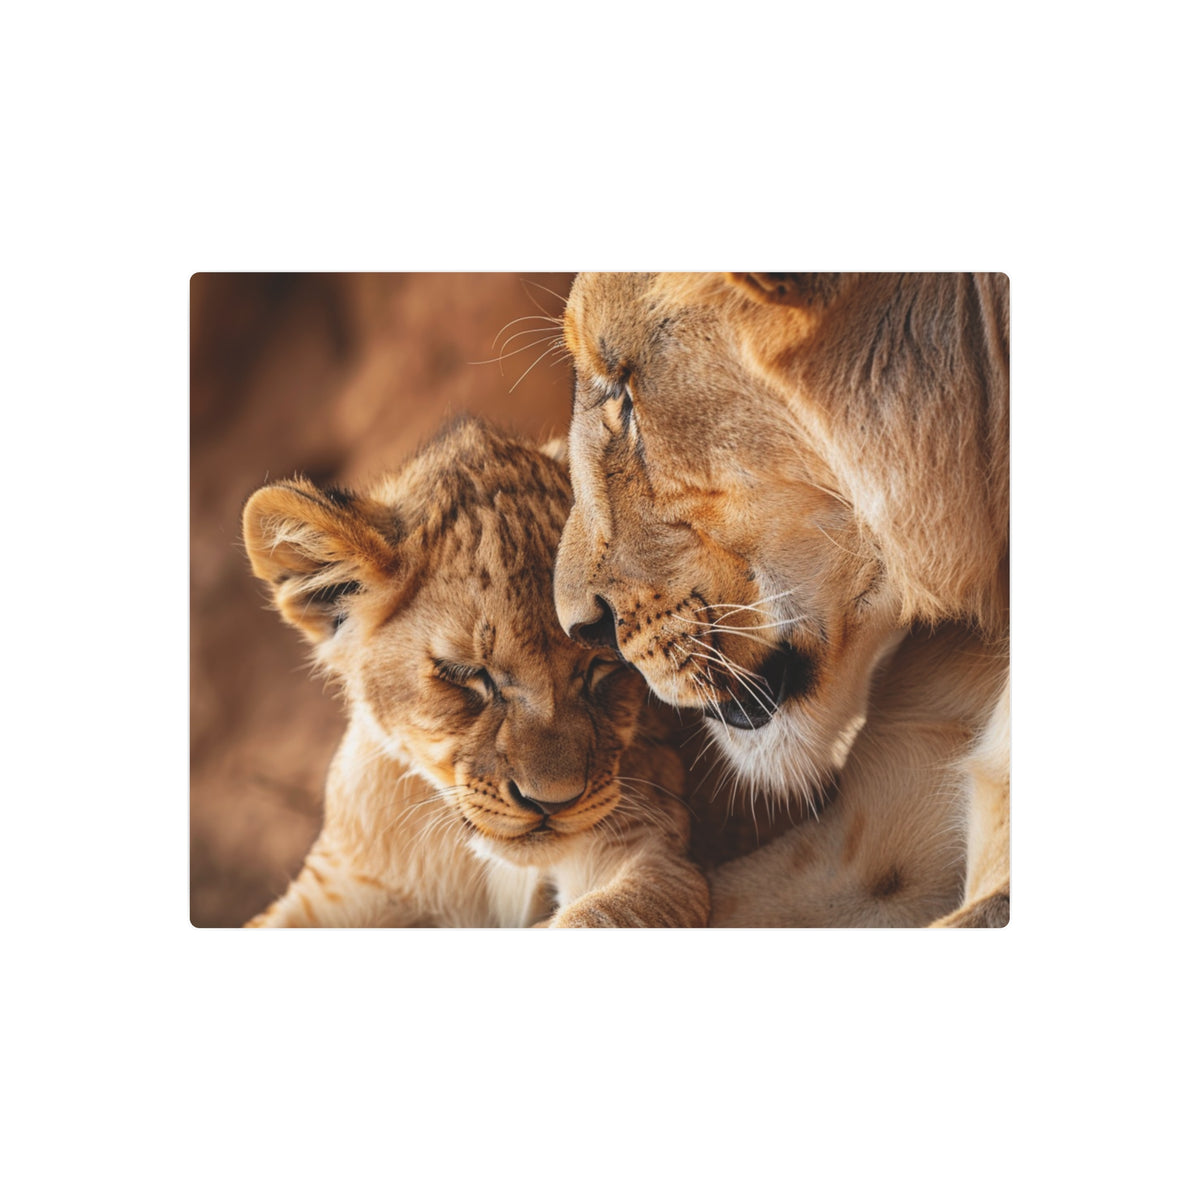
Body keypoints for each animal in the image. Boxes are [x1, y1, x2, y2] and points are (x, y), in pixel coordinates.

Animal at [240, 417, 709, 928]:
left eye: (602, 663)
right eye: (464, 673)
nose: (552, 803)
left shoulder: (652, 856)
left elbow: (593, 915)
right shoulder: (336, 885)